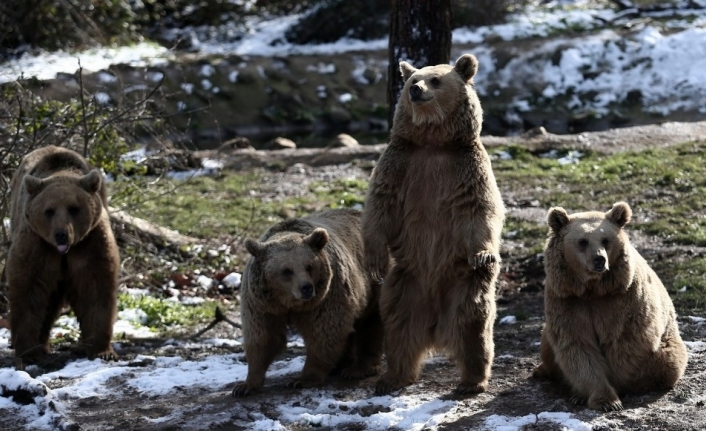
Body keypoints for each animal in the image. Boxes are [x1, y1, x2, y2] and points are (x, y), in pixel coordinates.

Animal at [6, 147, 118, 362]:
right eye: (49, 210)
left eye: (74, 208)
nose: (61, 235)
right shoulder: (38, 244)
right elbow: (28, 290)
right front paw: (28, 350)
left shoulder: (89, 242)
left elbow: (95, 287)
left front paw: (101, 349)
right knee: (48, 301)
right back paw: (42, 346)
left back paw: (79, 347)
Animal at [231, 208, 382, 396]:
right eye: (287, 271)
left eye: (309, 266)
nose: (306, 288)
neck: (289, 303)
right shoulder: (261, 304)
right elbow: (263, 338)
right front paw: (245, 385)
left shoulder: (326, 297)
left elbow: (323, 333)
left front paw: (301, 379)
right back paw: (340, 365)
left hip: (373, 282)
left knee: (370, 324)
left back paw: (358, 369)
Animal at [360, 53, 504, 394]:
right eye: (414, 80)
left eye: (436, 80)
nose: (416, 90)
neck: (433, 142)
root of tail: (436, 328)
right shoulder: (399, 163)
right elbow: (380, 205)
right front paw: (373, 260)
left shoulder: (467, 167)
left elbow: (481, 209)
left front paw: (484, 252)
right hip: (405, 281)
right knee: (398, 325)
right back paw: (393, 376)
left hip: (464, 281)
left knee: (474, 324)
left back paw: (472, 381)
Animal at [532, 202, 688, 412]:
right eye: (583, 241)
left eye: (605, 239)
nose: (599, 259)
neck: (592, 289)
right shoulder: (566, 301)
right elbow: (577, 346)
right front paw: (603, 399)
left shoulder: (621, 300)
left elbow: (622, 342)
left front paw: (609, 396)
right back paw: (543, 372)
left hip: (666, 348)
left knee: (666, 364)